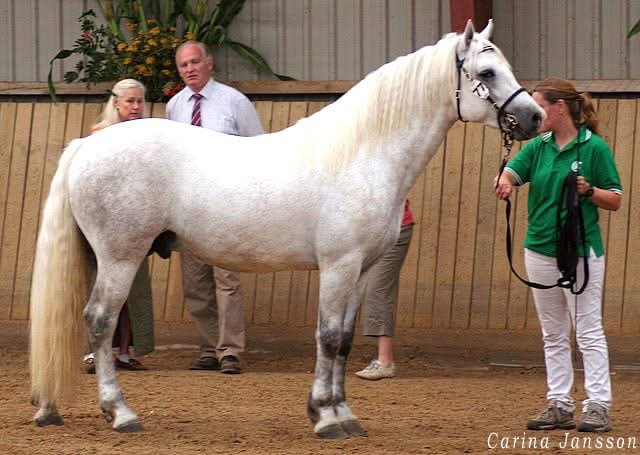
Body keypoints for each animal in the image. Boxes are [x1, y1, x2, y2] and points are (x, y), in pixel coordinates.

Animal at [30, 20, 543, 439]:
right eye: (487, 73)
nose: (535, 117)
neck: (363, 153)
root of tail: (88, 145)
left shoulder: (361, 271)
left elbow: (346, 341)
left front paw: (341, 414)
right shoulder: (338, 267)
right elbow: (328, 337)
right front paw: (327, 418)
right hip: (120, 257)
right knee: (100, 320)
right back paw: (120, 414)